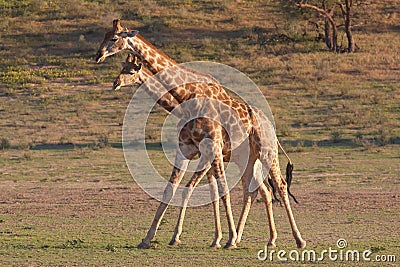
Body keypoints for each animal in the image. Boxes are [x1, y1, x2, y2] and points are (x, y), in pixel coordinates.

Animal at [94, 19, 306, 250]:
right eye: (103, 35)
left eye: (114, 38)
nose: (98, 55)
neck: (185, 98)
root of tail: (270, 126)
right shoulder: (187, 150)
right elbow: (174, 190)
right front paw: (149, 238)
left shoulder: (211, 149)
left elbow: (216, 189)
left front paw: (225, 239)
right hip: (248, 159)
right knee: (257, 190)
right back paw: (267, 239)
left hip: (267, 152)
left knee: (280, 186)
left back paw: (297, 239)